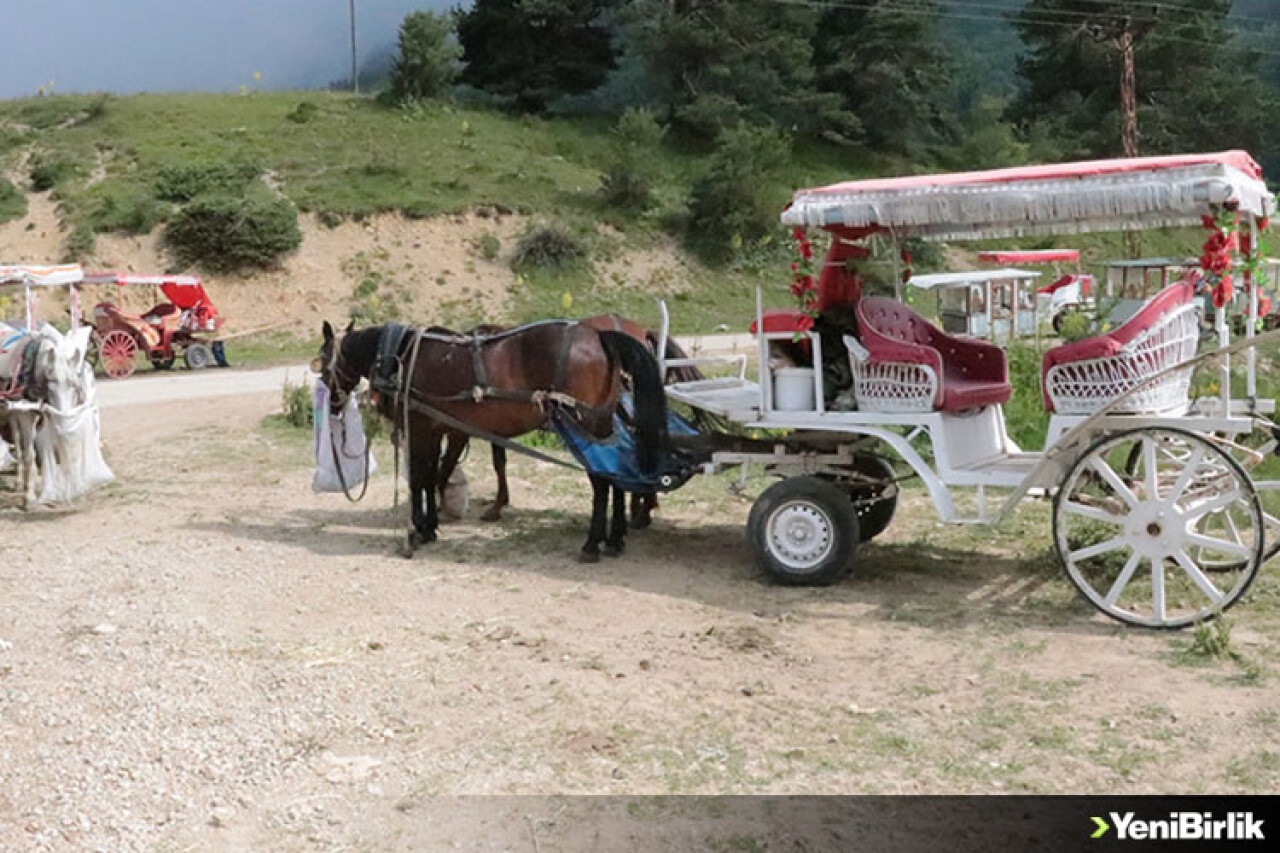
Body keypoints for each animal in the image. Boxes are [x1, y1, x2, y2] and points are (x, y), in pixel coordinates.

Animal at [317, 318, 670, 558]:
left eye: (322, 362)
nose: (332, 403)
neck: (401, 357)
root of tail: (599, 337)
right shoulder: (438, 430)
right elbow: (432, 477)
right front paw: (430, 526)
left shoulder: (420, 430)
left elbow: (420, 479)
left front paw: (417, 530)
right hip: (602, 425)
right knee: (616, 476)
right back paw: (615, 538)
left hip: (583, 425)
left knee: (601, 482)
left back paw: (593, 543)